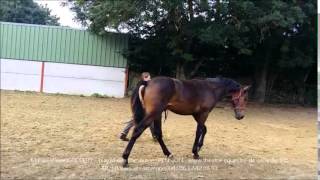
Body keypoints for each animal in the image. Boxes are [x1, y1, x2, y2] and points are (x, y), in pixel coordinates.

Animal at [122, 76, 250, 167]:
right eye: (244, 98)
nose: (241, 116)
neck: (210, 88)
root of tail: (148, 82)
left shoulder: (196, 115)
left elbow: (204, 129)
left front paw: (199, 147)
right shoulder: (203, 114)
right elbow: (199, 131)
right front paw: (196, 152)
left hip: (157, 115)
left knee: (158, 134)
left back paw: (168, 154)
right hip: (153, 114)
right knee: (138, 130)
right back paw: (125, 158)